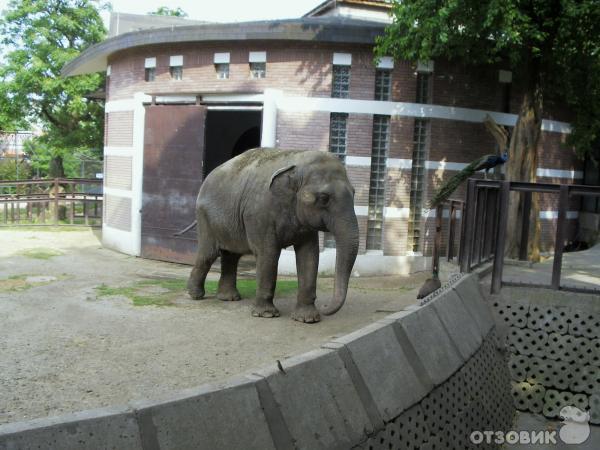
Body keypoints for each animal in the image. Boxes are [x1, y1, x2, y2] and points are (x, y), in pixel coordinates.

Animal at [185, 149, 358, 324]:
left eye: (354, 193)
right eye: (324, 198)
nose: (325, 307)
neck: (297, 163)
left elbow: (309, 255)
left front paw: (307, 319)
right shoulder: (259, 214)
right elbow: (268, 254)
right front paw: (266, 314)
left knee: (231, 256)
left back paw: (229, 298)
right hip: (205, 219)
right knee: (208, 254)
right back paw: (195, 295)